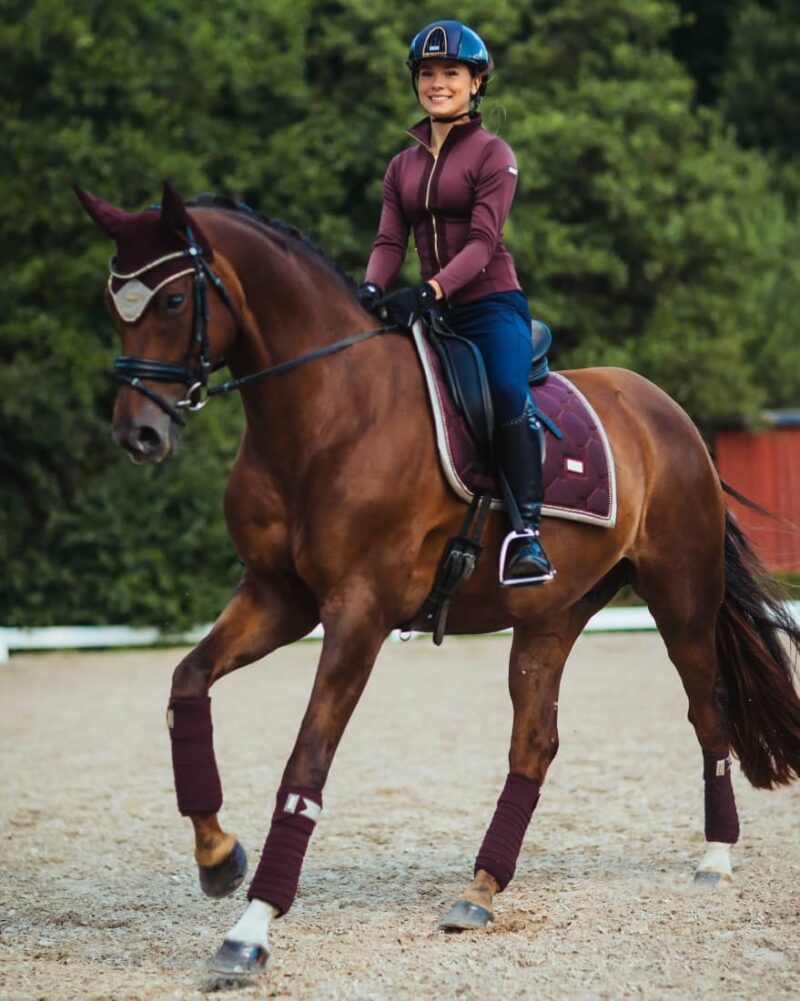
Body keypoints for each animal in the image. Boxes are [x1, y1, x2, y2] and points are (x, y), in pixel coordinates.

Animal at [76, 184, 800, 972]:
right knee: (535, 741)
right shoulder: (278, 597)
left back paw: (715, 858)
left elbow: (305, 765)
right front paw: (217, 856)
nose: (139, 434)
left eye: (175, 301)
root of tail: (666, 411)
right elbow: (188, 684)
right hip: (553, 614)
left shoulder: (357, 612)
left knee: (708, 710)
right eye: (115, 304)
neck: (326, 411)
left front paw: (250, 930)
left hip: (681, 599)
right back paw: (480, 890)